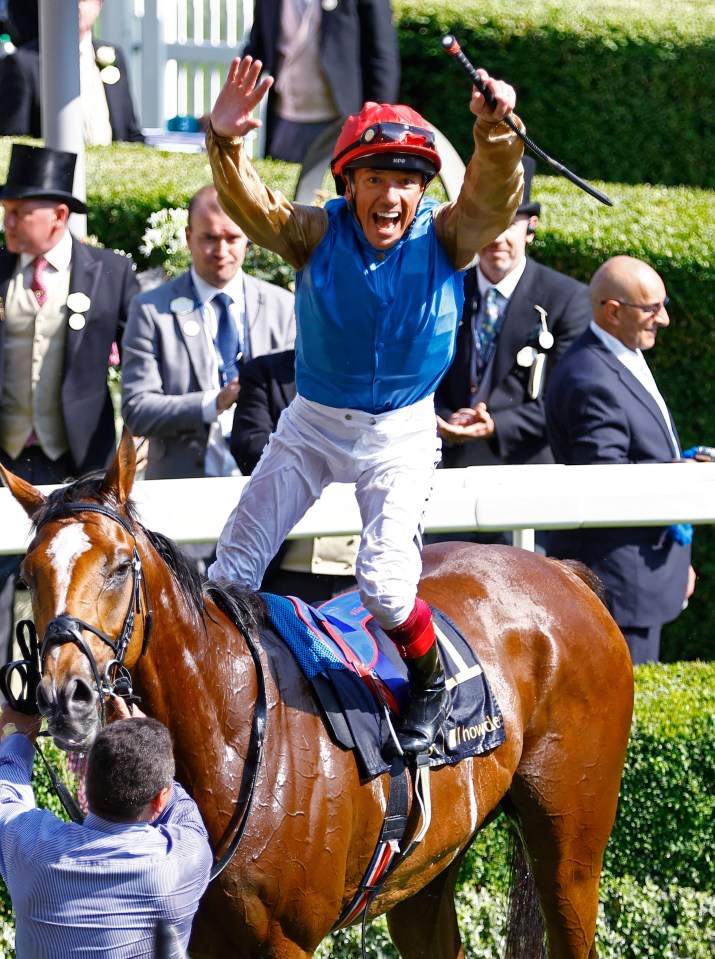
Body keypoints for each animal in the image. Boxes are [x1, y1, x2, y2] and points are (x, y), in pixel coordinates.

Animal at [2, 434, 636, 959]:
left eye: (119, 566)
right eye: (29, 575)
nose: (64, 695)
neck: (234, 733)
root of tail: (563, 571)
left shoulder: (284, 940)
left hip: (571, 845)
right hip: (427, 869)